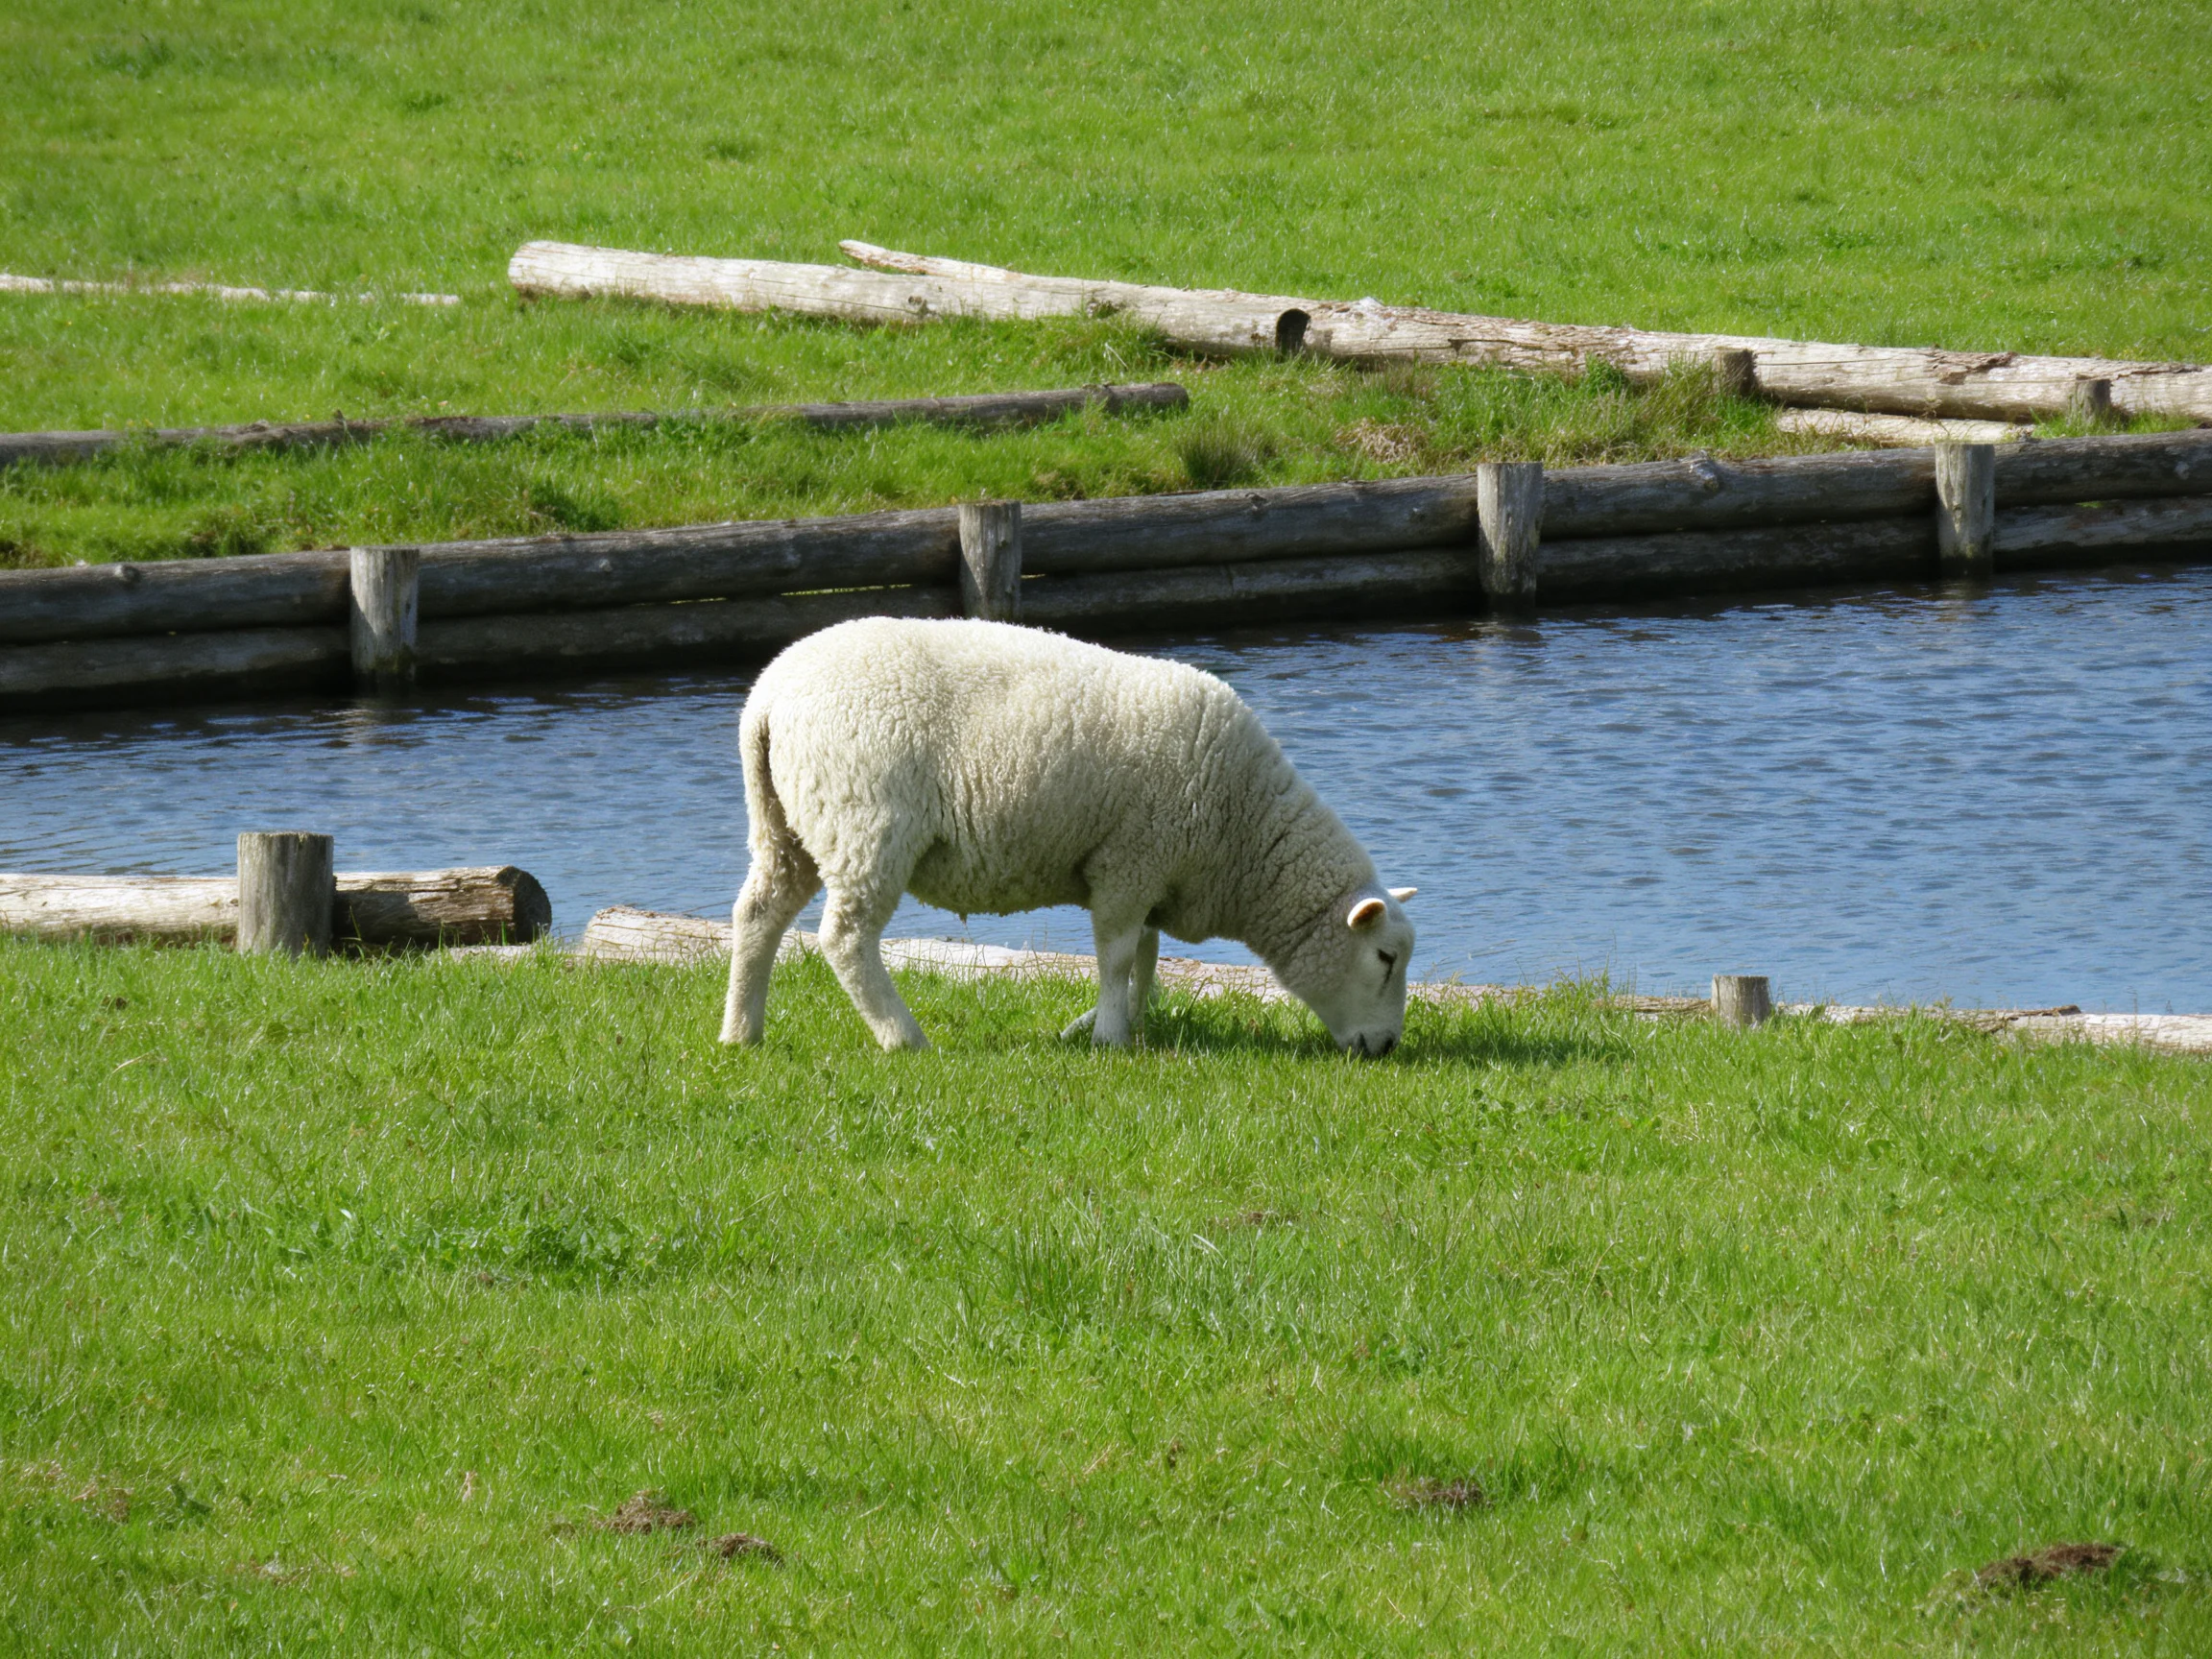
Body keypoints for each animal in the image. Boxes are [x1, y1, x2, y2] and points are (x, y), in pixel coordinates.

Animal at [719, 617, 1417, 1054]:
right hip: (865, 822)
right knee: (845, 939)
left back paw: (741, 1031)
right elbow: (1118, 956)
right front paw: (1109, 1034)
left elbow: (1146, 958)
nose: (1384, 1048)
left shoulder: (1148, 872)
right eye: (1385, 958)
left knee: (758, 914)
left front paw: (1103, 1024)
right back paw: (903, 1037)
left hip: (787, 823)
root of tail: (767, 698)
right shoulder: (1130, 861)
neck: (1241, 831)